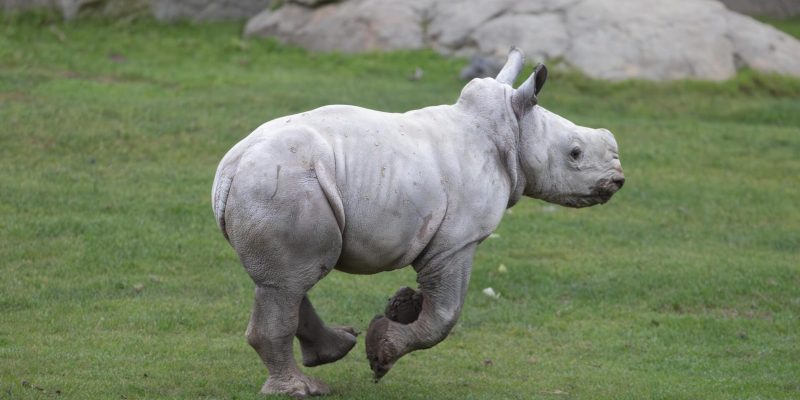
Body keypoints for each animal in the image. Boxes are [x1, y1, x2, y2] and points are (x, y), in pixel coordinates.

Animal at [211, 48, 624, 397]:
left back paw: (335, 350)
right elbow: (444, 316)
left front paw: (401, 308)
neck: (512, 130)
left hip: (282, 187)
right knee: (289, 282)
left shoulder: (445, 240)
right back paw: (300, 389)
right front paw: (382, 353)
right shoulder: (456, 242)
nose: (618, 179)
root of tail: (229, 170)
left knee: (291, 278)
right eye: (575, 153)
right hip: (284, 186)